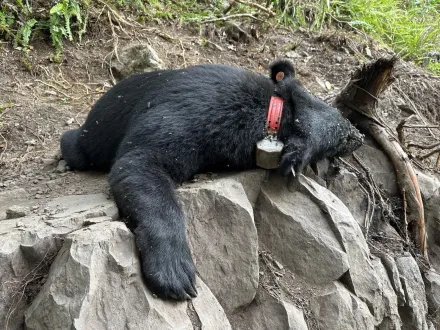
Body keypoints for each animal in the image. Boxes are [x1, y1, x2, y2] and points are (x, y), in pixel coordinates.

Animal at [60, 59, 362, 302]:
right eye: (342, 132)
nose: (359, 135)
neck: (270, 116)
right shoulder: (196, 115)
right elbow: (140, 163)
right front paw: (176, 275)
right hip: (96, 135)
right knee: (79, 147)